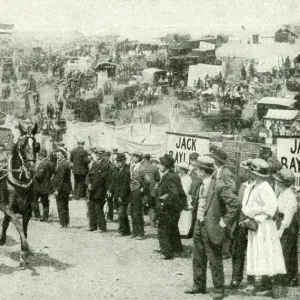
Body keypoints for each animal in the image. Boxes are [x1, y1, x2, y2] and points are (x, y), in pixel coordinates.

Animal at [0, 123, 39, 266]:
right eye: (21, 146)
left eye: (37, 145)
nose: (31, 169)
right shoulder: (6, 207)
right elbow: (18, 225)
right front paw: (25, 250)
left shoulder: (27, 210)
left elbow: (24, 229)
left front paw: (24, 253)